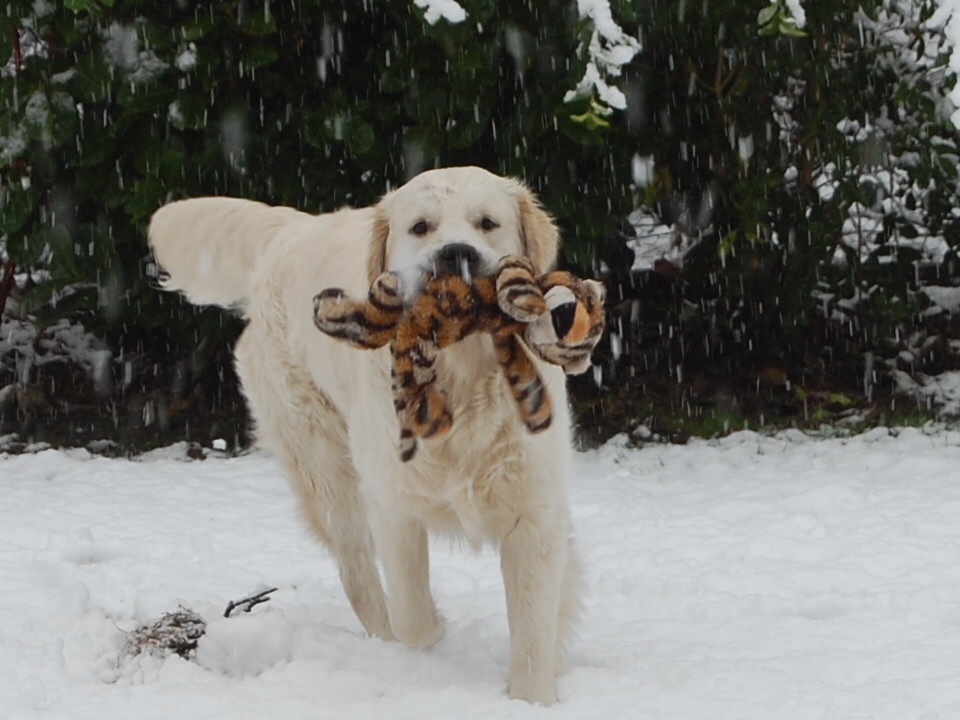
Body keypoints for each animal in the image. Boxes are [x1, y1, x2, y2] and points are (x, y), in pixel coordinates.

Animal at [147, 167, 580, 704]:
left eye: (487, 223)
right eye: (421, 227)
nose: (455, 253)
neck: (461, 377)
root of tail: (294, 228)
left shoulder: (535, 508)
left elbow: (535, 625)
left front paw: (532, 698)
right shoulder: (392, 505)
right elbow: (412, 614)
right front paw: (431, 633)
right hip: (328, 470)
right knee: (356, 572)